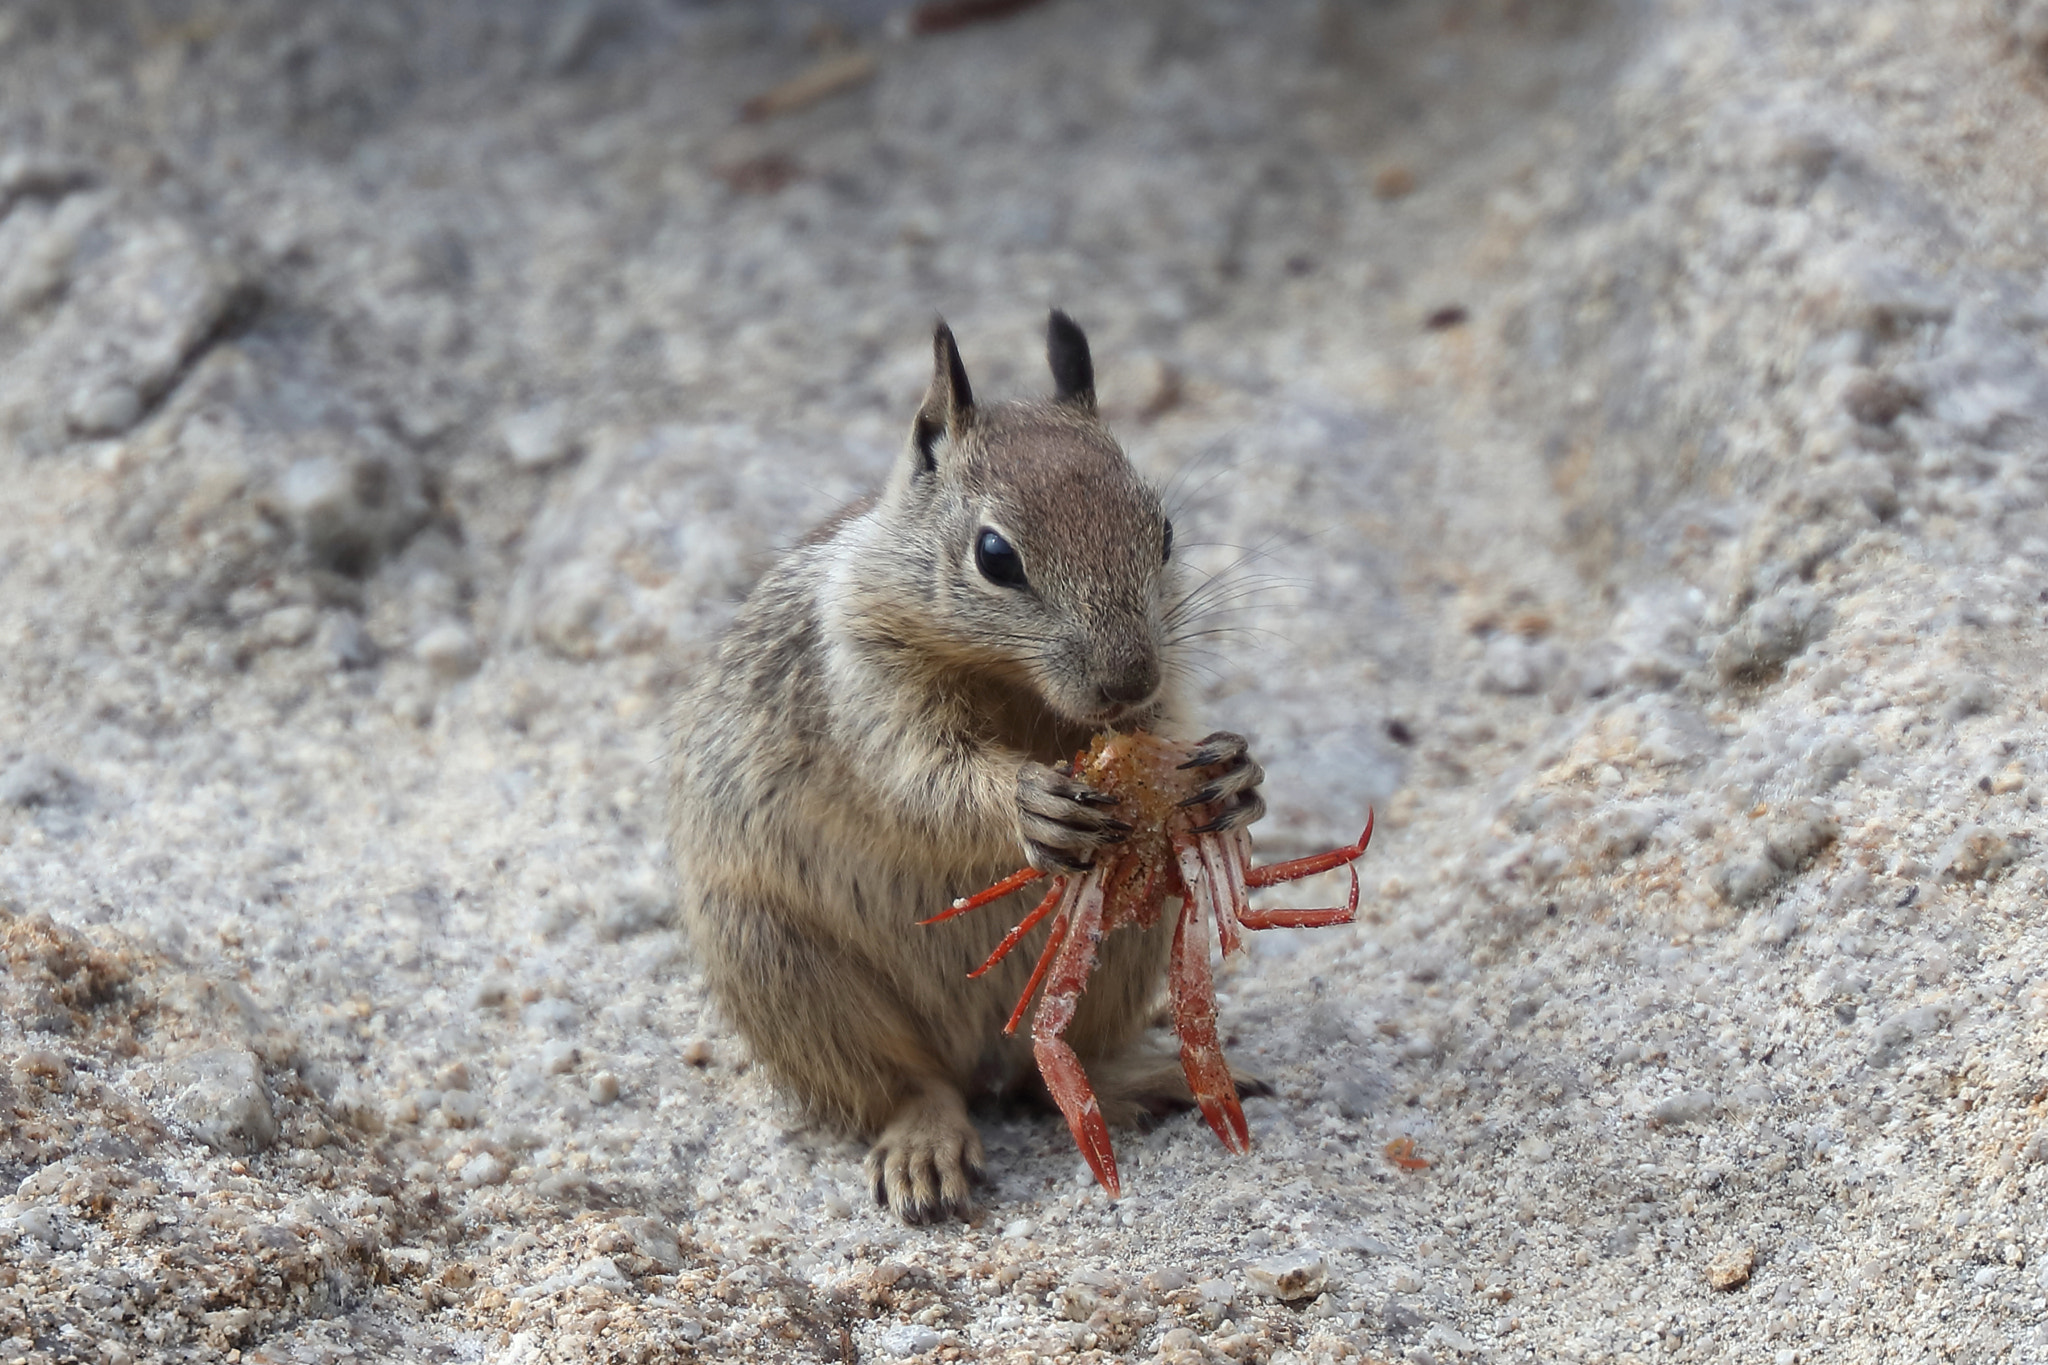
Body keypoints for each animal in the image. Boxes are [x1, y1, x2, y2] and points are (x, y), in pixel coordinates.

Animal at [667, 315, 1261, 1219]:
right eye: (994, 556)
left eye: (1163, 532)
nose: (1129, 678)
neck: (1009, 680)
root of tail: (984, 1049)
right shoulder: (868, 688)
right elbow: (925, 777)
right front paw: (1028, 802)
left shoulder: (1150, 713)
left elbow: (1172, 734)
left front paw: (1232, 775)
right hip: (780, 967)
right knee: (909, 1086)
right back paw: (925, 1149)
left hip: (1131, 932)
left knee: (1058, 1070)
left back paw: (1150, 1077)